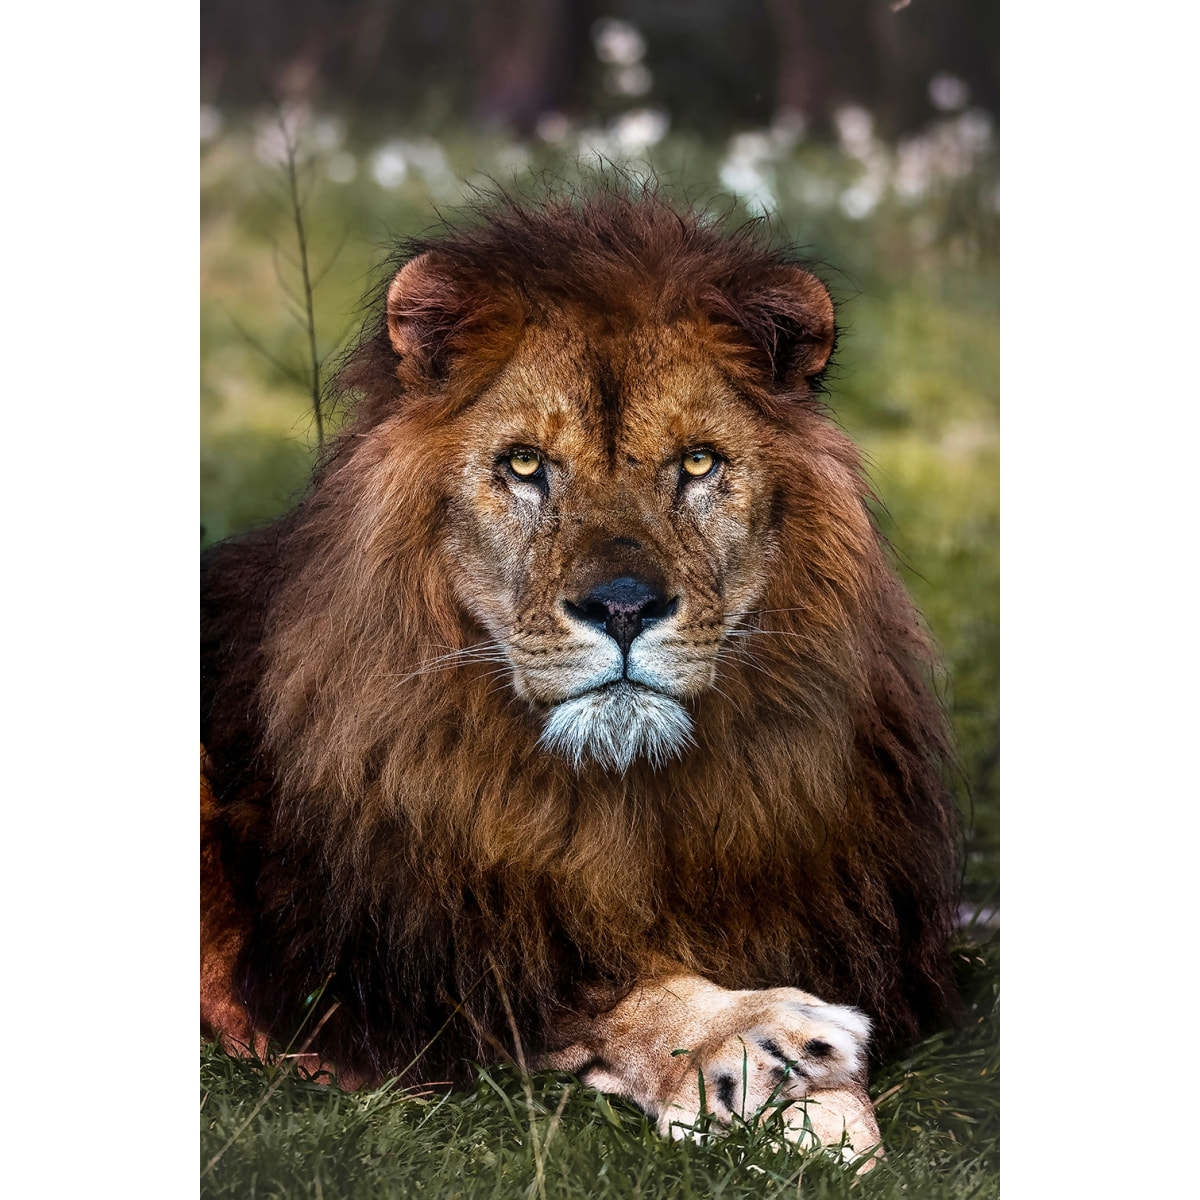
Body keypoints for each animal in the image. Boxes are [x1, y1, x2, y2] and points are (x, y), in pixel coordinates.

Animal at [201, 184, 961, 1160]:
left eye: (697, 461)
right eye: (526, 464)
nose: (625, 606)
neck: (621, 797)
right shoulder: (359, 975)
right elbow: (594, 993)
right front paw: (759, 1051)